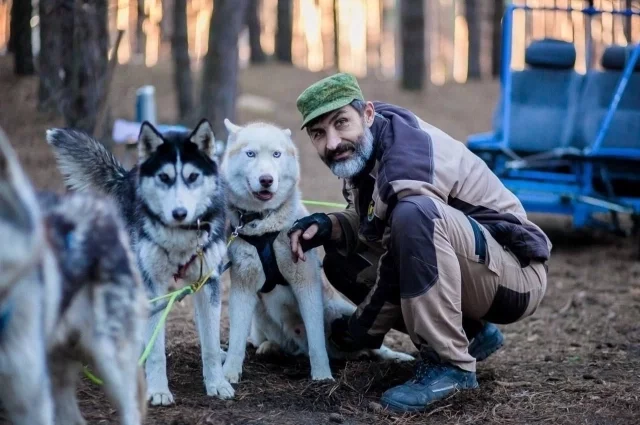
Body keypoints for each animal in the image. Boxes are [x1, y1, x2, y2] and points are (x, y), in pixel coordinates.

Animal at [47, 119, 235, 404]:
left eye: (193, 177)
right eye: (164, 178)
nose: (179, 213)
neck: (179, 237)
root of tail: (128, 175)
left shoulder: (207, 282)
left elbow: (211, 343)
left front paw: (217, 383)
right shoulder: (153, 286)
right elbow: (156, 350)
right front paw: (158, 390)